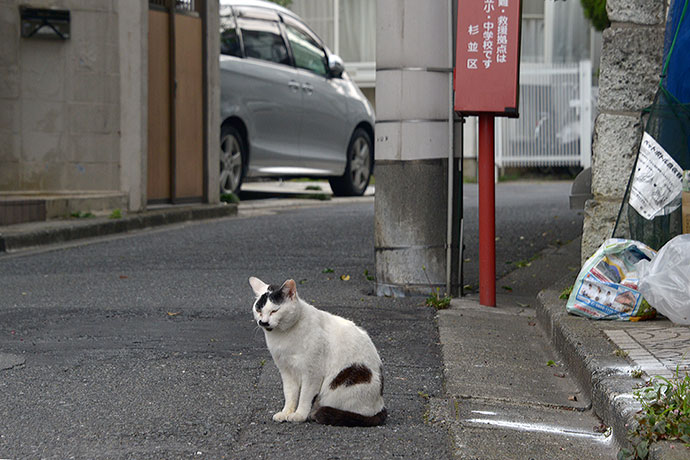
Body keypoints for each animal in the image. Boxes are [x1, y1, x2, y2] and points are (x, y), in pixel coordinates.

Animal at [249, 276, 388, 428]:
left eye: (274, 311)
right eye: (258, 310)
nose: (263, 322)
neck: (283, 337)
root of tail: (380, 405)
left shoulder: (312, 373)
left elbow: (304, 397)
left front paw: (299, 415)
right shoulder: (286, 371)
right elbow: (290, 394)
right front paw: (286, 413)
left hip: (343, 384)